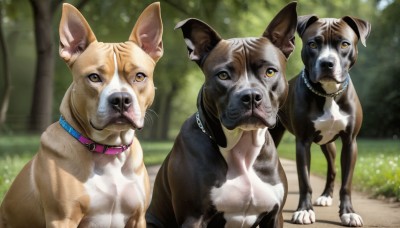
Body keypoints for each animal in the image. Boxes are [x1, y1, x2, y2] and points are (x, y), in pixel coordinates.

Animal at [0, 2, 162, 228]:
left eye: (139, 76)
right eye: (94, 77)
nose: (121, 99)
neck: (108, 151)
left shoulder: (137, 217)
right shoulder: (62, 219)